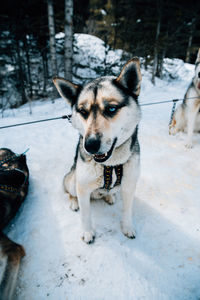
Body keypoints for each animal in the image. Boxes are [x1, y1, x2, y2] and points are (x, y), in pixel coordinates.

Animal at [52, 58, 141, 244]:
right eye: (83, 111)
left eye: (111, 109)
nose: (90, 145)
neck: (111, 165)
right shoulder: (83, 187)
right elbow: (85, 216)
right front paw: (87, 232)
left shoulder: (129, 185)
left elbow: (127, 211)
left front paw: (127, 227)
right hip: (73, 179)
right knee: (71, 193)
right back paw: (74, 202)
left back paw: (109, 196)